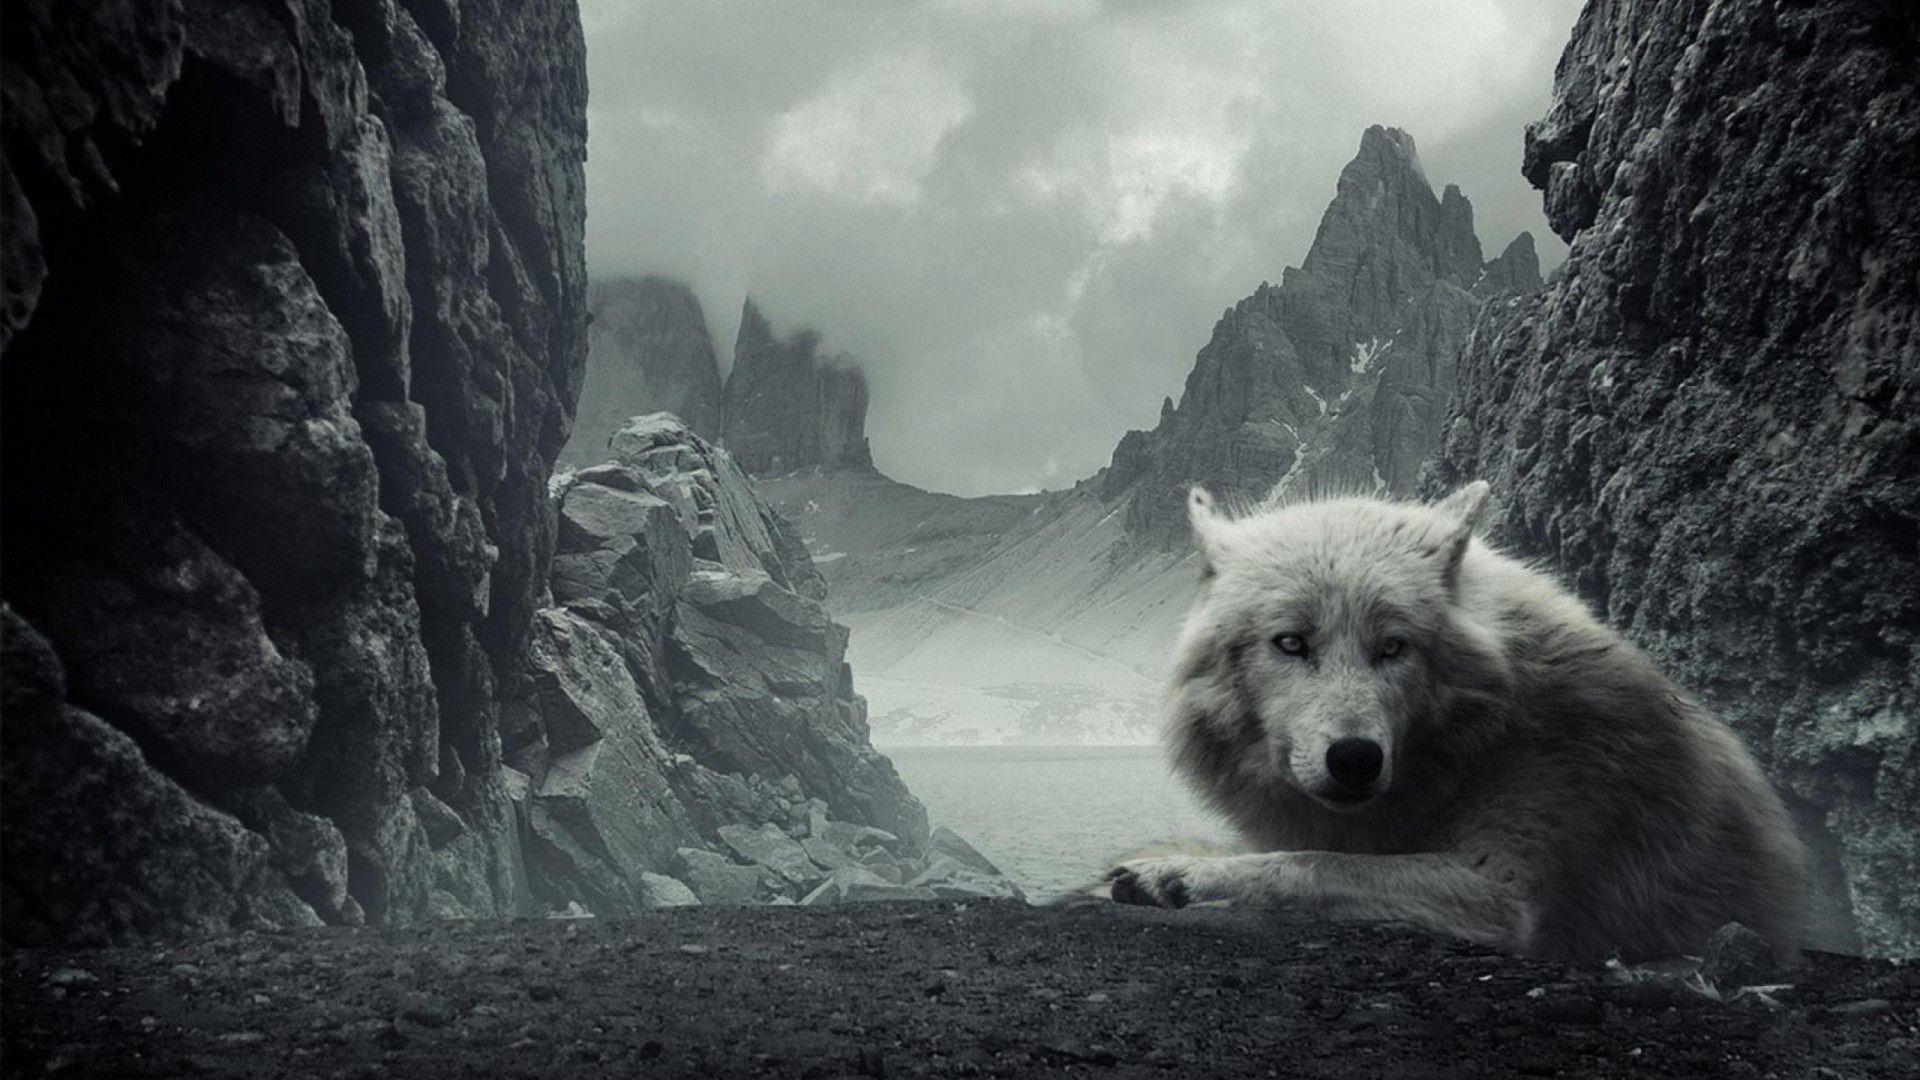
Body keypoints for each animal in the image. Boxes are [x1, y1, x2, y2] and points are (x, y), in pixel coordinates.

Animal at [1107, 482, 1807, 962]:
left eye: (1393, 647)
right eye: (1291, 643)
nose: (1355, 759)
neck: (1480, 744)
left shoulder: (1505, 892)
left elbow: (1313, 864)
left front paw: (1179, 873)